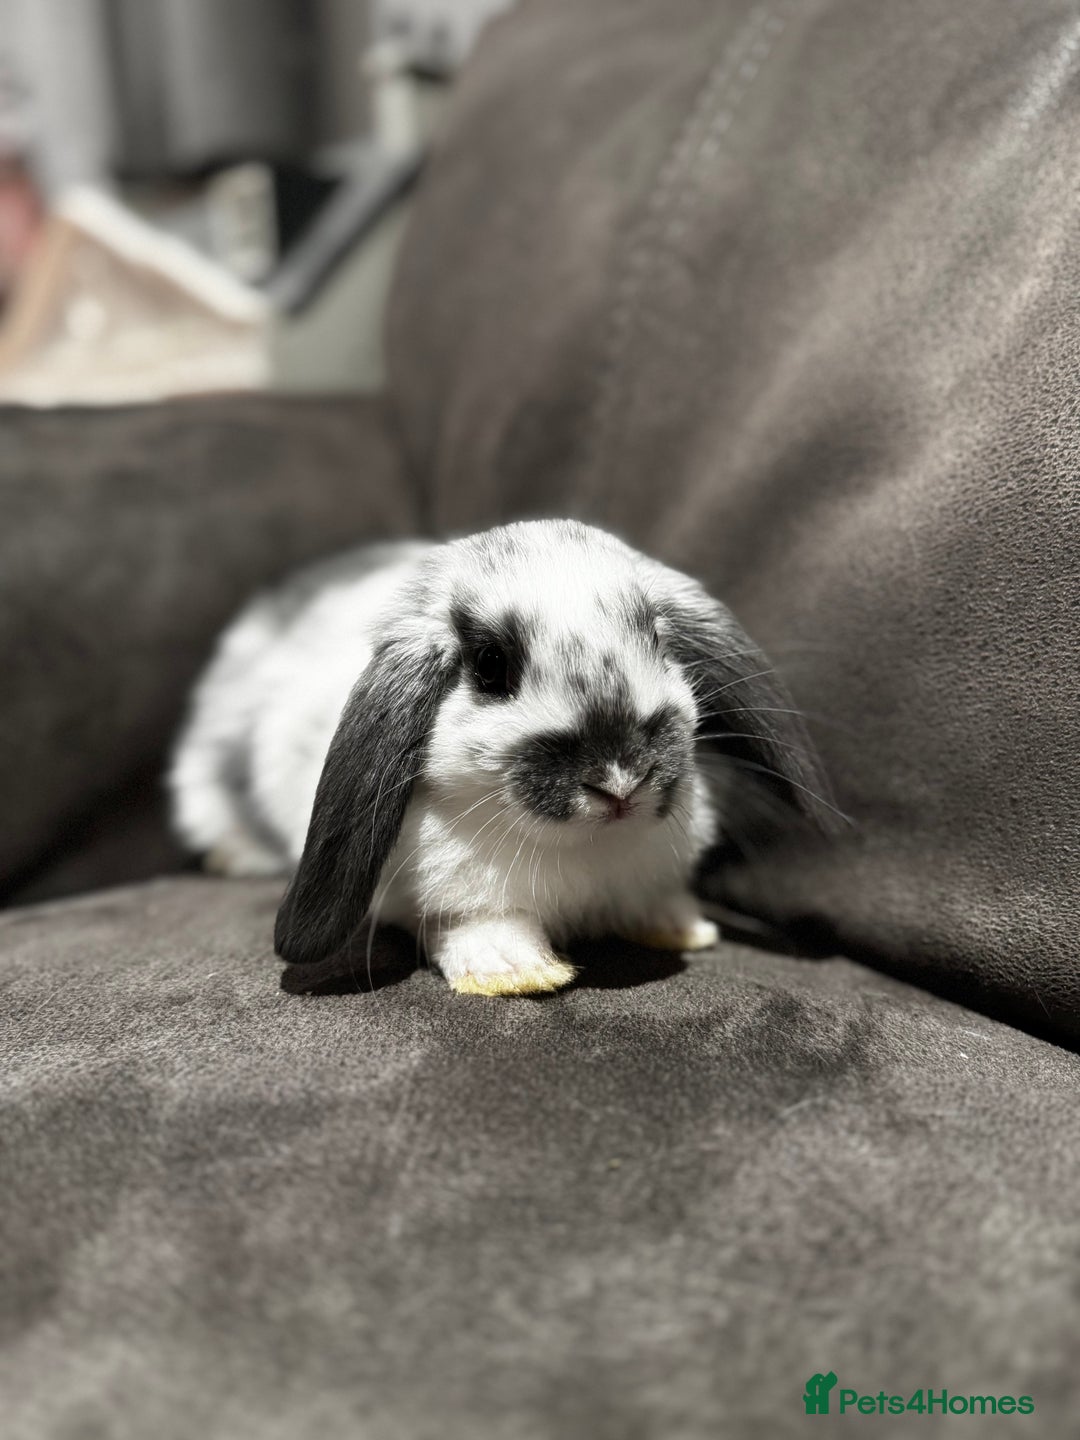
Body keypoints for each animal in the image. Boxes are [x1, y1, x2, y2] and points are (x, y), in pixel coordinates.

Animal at [169, 519, 832, 996]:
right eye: (490, 664)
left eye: (658, 640)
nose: (621, 782)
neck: (585, 854)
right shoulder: (445, 898)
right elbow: (476, 923)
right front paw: (515, 973)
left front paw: (681, 929)